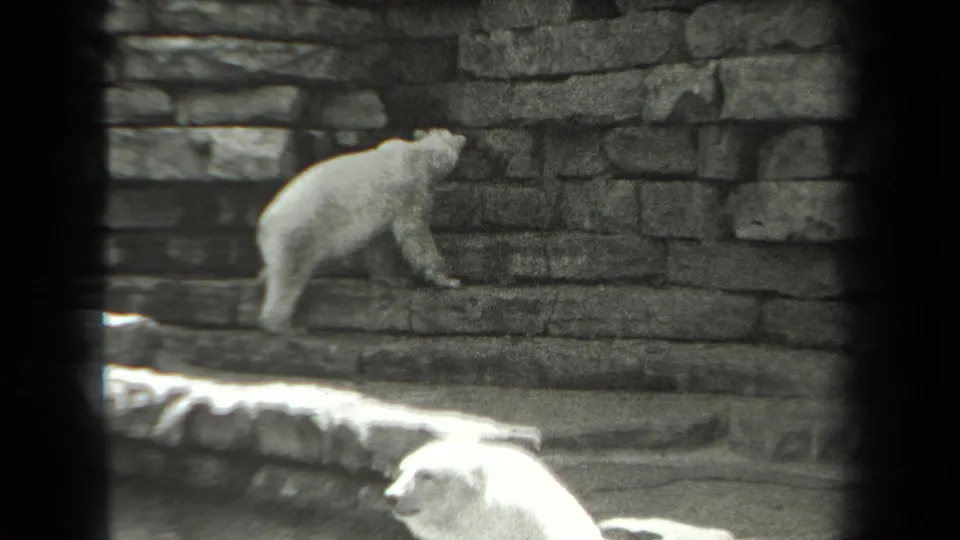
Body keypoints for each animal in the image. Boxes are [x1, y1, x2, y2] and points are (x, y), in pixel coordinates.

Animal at [255, 128, 467, 335]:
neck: (421, 155)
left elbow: (380, 243)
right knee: (290, 277)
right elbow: (416, 235)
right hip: (299, 231)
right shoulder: (411, 192)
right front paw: (447, 279)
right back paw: (288, 326)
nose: (463, 138)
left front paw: (393, 279)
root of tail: (265, 223)